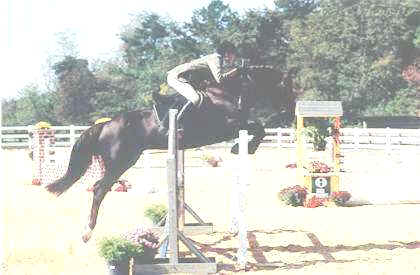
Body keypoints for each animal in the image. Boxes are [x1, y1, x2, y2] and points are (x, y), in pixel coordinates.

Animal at [46, 66, 288, 243]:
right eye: (286, 86)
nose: (287, 112)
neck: (227, 93)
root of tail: (106, 125)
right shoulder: (227, 127)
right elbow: (258, 127)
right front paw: (243, 147)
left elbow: (257, 127)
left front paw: (241, 147)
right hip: (120, 163)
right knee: (99, 189)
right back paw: (87, 232)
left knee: (99, 188)